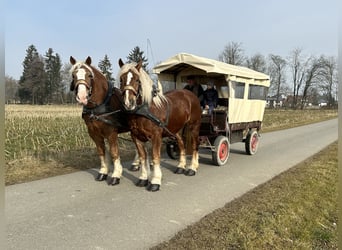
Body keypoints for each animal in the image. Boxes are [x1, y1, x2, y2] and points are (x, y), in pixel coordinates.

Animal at [70, 56, 140, 186]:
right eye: (73, 75)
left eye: (89, 75)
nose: (82, 97)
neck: (100, 104)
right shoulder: (94, 133)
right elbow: (101, 151)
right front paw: (103, 172)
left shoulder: (111, 132)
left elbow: (114, 152)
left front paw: (116, 174)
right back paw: (136, 163)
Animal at [118, 59, 202, 191]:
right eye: (121, 79)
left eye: (137, 79)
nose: (128, 103)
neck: (145, 110)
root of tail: (190, 94)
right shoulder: (136, 137)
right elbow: (143, 157)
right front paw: (143, 178)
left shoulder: (156, 136)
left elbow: (155, 157)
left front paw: (155, 181)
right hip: (176, 130)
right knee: (181, 144)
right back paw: (181, 166)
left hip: (194, 126)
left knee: (194, 144)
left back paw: (192, 168)